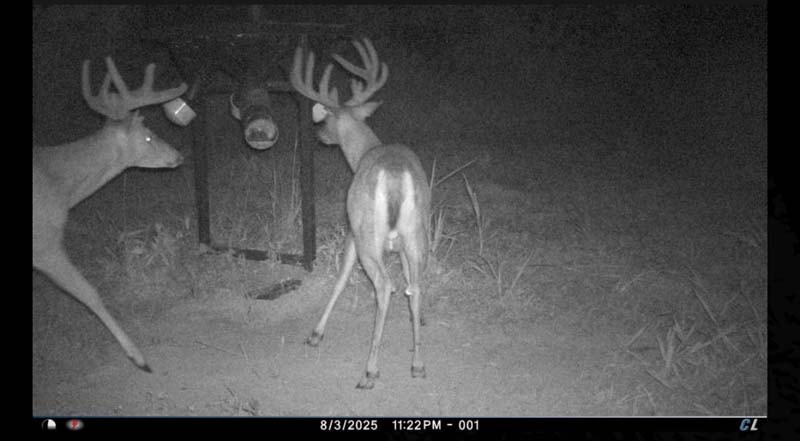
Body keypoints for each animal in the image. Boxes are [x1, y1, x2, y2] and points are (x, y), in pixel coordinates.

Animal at [32, 57, 188, 372]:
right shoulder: (44, 243)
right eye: (149, 136)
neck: (58, 185)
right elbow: (89, 292)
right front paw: (139, 357)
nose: (178, 155)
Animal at [291, 38, 431, 389]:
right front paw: (418, 322)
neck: (364, 152)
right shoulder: (400, 245)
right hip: (416, 231)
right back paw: (418, 364)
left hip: (369, 233)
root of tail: (393, 174)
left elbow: (340, 278)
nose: (318, 136)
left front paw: (316, 333)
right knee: (415, 284)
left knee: (384, 285)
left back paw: (369, 371)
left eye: (324, 120)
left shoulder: (351, 229)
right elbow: (410, 285)